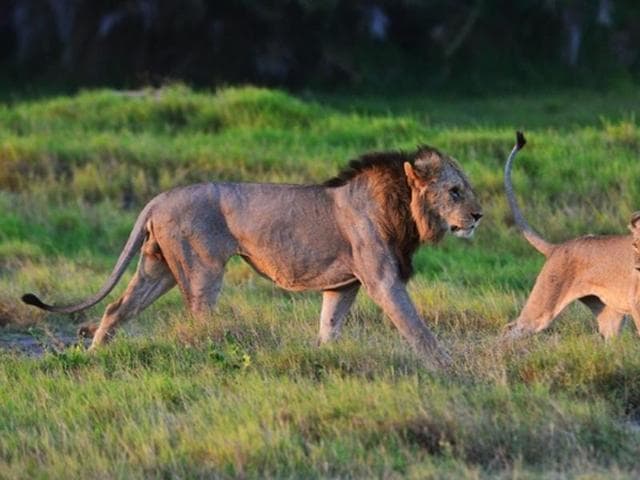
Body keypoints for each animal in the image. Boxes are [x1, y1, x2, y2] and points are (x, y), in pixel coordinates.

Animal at [22, 145, 483, 368]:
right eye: (455, 191)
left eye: (467, 188)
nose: (479, 216)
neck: (404, 208)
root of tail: (158, 198)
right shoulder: (382, 279)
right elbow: (416, 328)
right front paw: (450, 369)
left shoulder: (343, 286)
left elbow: (329, 329)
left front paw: (320, 361)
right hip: (202, 269)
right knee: (199, 318)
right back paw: (208, 356)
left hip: (159, 268)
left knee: (117, 308)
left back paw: (94, 356)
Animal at [503, 132, 640, 339]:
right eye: (634, 244)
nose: (637, 265)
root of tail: (557, 247)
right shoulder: (636, 303)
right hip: (542, 306)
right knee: (510, 329)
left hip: (610, 316)